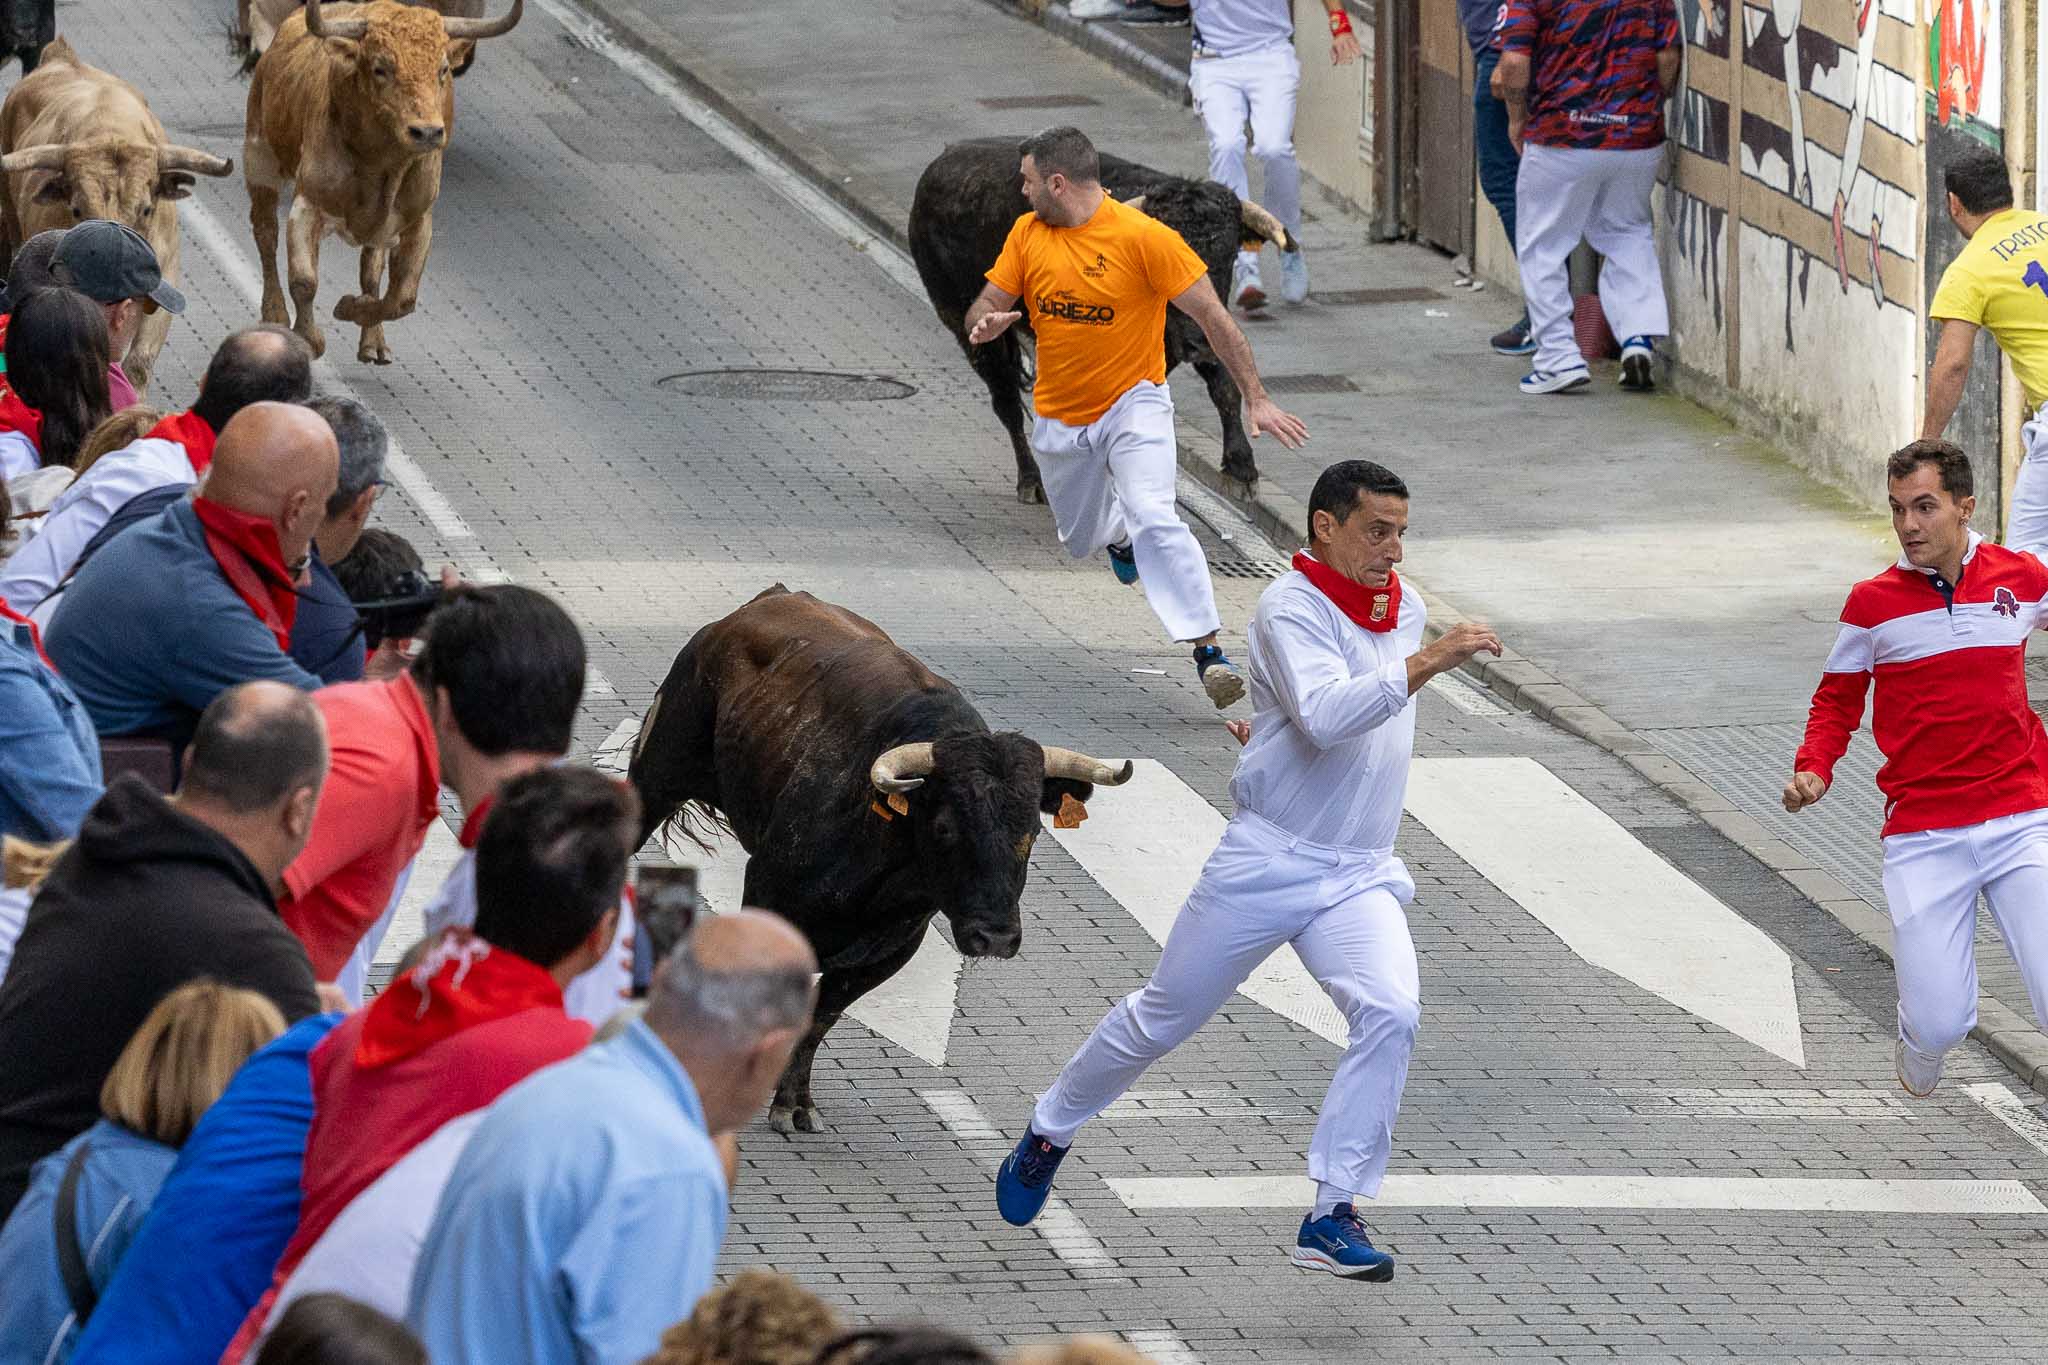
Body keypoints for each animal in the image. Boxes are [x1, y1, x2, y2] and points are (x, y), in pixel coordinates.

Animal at [241, 0, 520, 362]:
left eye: (442, 69)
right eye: (380, 68)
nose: (427, 132)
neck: (383, 165)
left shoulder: (417, 220)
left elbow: (401, 297)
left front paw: (351, 308)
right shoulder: (307, 204)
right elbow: (304, 281)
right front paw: (309, 338)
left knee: (371, 268)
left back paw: (372, 342)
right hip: (259, 159)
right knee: (265, 234)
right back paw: (274, 313)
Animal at [626, 589, 1138, 1129]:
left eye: (1033, 833)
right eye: (945, 827)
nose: (996, 936)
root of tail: (762, 602)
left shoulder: (891, 947)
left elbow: (821, 1015)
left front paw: (794, 1103)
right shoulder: (767, 894)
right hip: (656, 774)